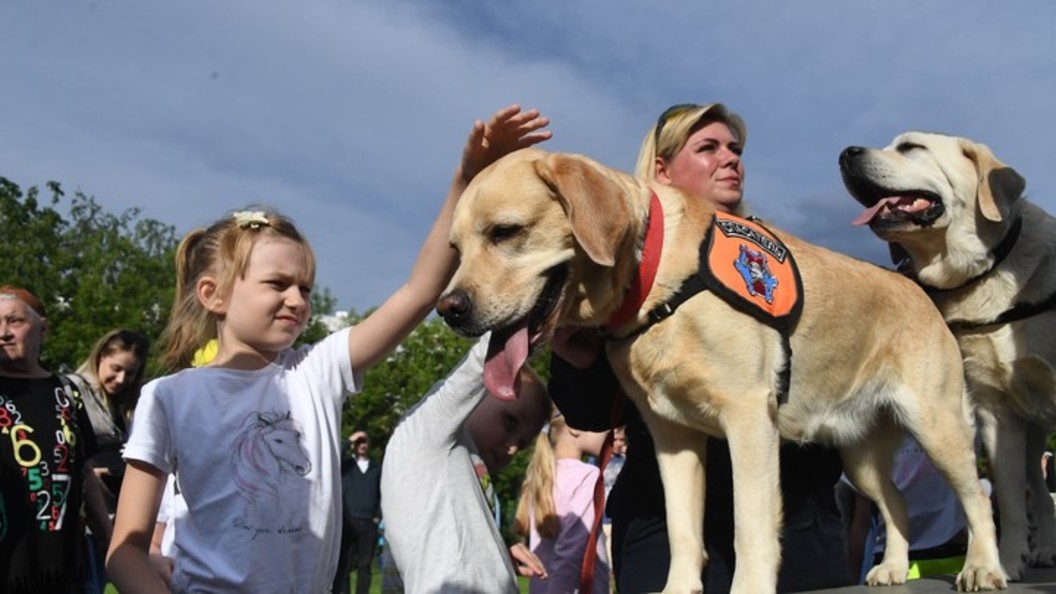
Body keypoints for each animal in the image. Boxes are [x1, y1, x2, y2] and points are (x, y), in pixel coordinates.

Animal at [437, 146, 1005, 587]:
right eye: (455, 248)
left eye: (506, 232)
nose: (448, 309)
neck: (654, 278)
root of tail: (919, 292)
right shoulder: (672, 436)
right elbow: (683, 532)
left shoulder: (750, 418)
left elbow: (749, 529)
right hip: (860, 457)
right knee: (897, 503)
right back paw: (892, 568)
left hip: (938, 426)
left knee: (976, 500)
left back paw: (982, 569)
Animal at [844, 130, 1056, 579]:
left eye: (911, 147)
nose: (845, 153)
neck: (988, 273)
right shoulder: (997, 414)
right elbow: (1010, 501)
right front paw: (1003, 563)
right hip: (1031, 433)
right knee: (1038, 490)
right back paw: (1044, 548)